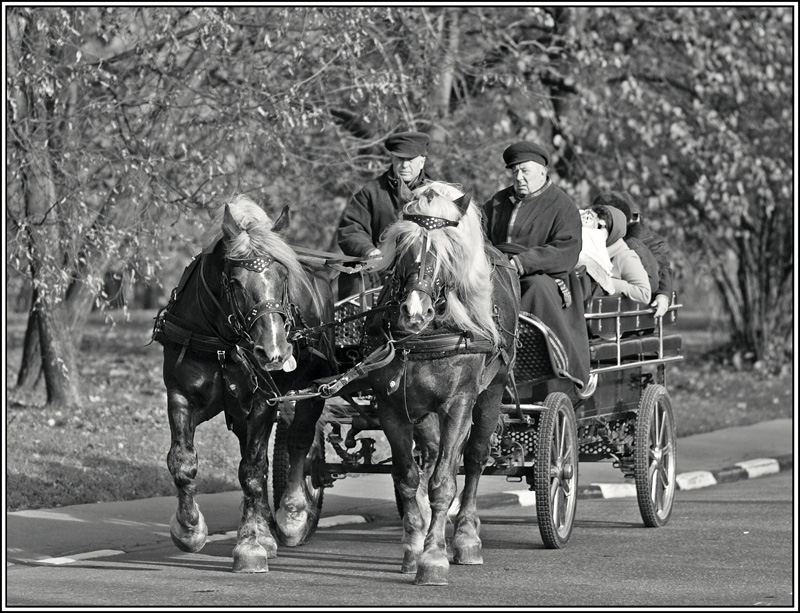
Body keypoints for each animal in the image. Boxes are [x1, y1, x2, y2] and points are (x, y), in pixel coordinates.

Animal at [153, 195, 334, 568]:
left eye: (282, 276)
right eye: (234, 281)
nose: (275, 351)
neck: (224, 342)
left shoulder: (265, 400)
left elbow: (251, 469)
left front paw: (251, 543)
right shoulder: (179, 394)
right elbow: (183, 461)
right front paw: (189, 528)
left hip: (313, 390)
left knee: (299, 443)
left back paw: (292, 515)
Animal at [360, 182, 520, 584]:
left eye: (447, 251)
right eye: (404, 247)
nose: (414, 313)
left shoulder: (459, 403)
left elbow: (444, 482)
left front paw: (433, 558)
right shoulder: (391, 407)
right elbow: (407, 478)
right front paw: (413, 548)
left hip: (491, 394)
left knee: (474, 459)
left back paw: (465, 537)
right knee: (432, 455)